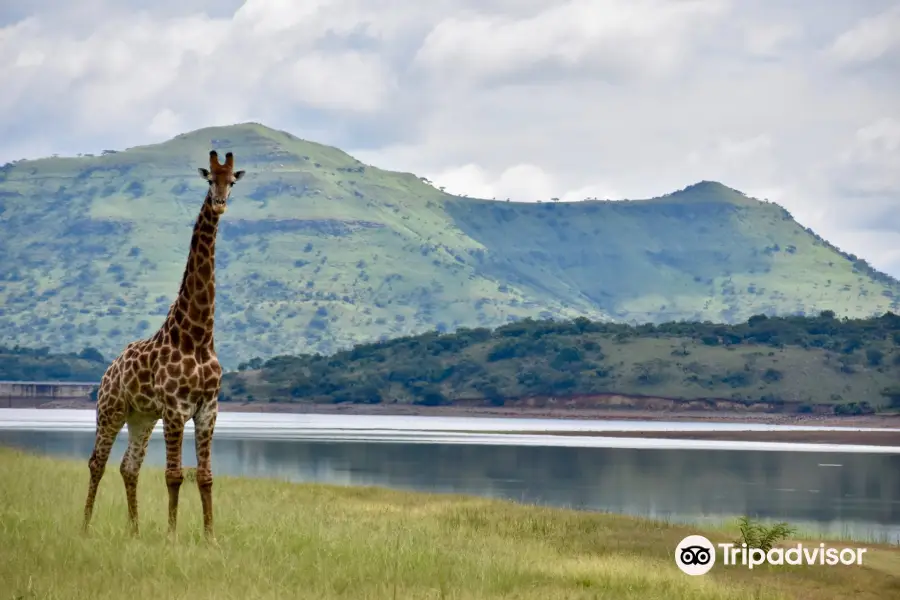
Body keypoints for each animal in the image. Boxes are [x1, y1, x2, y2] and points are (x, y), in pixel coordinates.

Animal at [82, 148, 246, 540]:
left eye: (232, 182)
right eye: (209, 179)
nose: (219, 204)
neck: (198, 335)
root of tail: (109, 368)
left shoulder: (208, 408)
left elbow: (205, 476)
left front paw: (210, 537)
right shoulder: (175, 408)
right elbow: (174, 475)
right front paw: (172, 537)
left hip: (141, 417)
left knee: (129, 466)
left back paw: (135, 531)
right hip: (110, 408)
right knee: (97, 462)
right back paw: (85, 526)